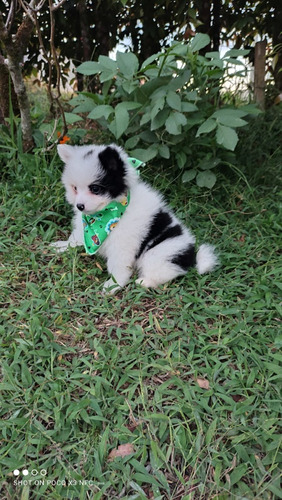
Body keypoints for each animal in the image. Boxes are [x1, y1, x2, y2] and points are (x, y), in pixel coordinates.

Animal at [51, 145, 218, 292]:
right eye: (74, 188)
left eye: (95, 189)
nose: (79, 206)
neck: (106, 214)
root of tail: (192, 256)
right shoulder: (84, 227)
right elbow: (76, 238)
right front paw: (62, 246)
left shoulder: (123, 245)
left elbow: (119, 266)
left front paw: (113, 285)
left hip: (160, 253)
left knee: (166, 271)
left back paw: (144, 282)